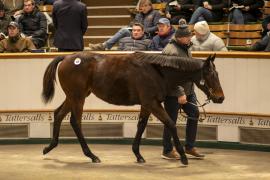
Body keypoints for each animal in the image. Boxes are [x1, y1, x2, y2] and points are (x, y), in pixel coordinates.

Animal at [41, 51, 224, 165]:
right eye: (210, 74)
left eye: (217, 74)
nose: (220, 97)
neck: (156, 71)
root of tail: (67, 57)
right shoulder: (152, 103)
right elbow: (171, 124)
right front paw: (183, 157)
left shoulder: (147, 104)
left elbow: (141, 125)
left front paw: (138, 155)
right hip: (77, 97)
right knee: (75, 122)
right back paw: (92, 156)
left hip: (74, 97)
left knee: (58, 114)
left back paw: (49, 147)